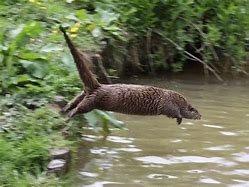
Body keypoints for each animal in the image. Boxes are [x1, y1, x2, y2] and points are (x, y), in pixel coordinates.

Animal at [59, 26, 201, 125]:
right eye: (197, 112)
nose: (201, 116)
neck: (178, 101)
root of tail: (98, 86)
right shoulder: (168, 104)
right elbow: (174, 112)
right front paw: (179, 119)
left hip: (85, 94)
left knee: (74, 101)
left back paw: (64, 109)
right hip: (93, 101)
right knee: (80, 108)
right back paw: (69, 115)